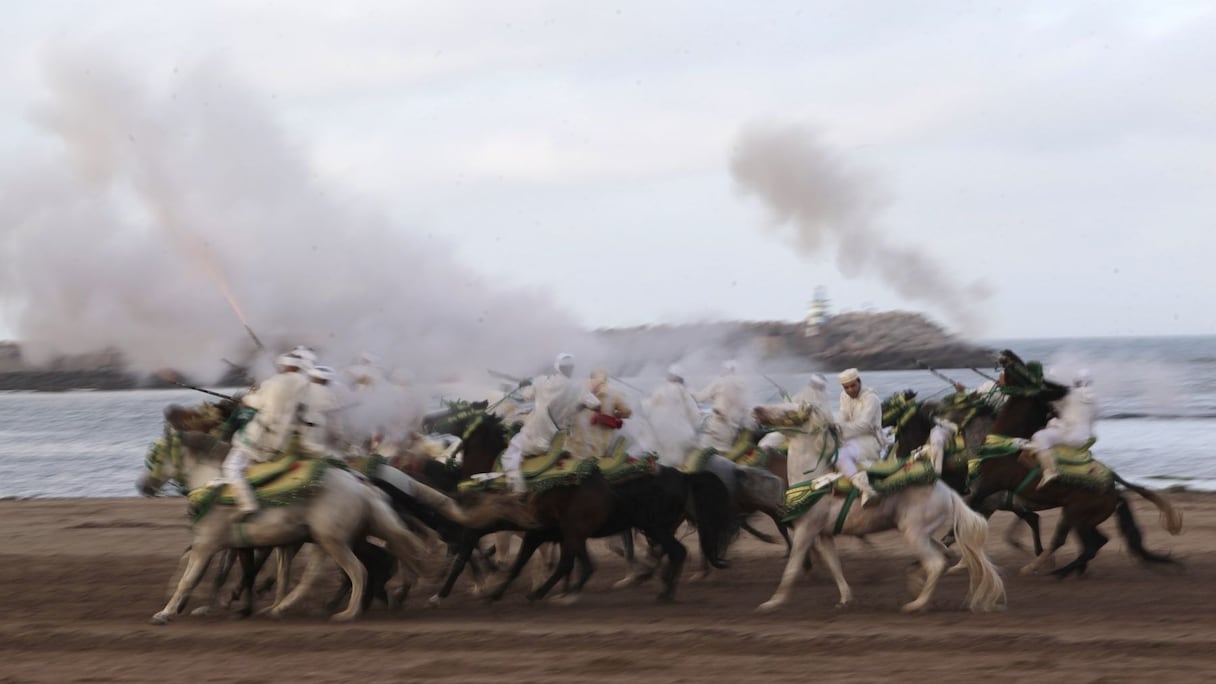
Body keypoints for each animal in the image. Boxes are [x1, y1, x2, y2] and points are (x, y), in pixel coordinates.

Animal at [139, 430, 440, 623]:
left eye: (156, 455)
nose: (142, 486)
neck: (216, 485)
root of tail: (361, 484)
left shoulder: (209, 543)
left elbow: (191, 577)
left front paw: (166, 612)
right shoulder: (252, 544)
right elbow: (249, 573)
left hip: (332, 539)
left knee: (357, 570)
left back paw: (348, 612)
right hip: (336, 538)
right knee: (346, 567)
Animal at [749, 401, 1006, 608]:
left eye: (789, 410)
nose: (757, 410)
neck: (814, 480)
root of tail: (947, 491)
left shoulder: (806, 531)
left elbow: (791, 568)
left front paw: (772, 602)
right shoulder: (824, 535)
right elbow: (835, 566)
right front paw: (845, 599)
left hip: (913, 533)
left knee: (935, 563)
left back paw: (916, 604)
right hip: (924, 533)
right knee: (942, 555)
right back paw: (915, 585)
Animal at [963, 350, 1181, 574]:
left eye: (1017, 368)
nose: (1004, 354)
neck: (1004, 445)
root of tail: (1113, 489)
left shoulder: (987, 486)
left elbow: (968, 508)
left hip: (1078, 517)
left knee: (1092, 543)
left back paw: (1057, 571)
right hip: (1078, 518)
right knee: (1093, 542)